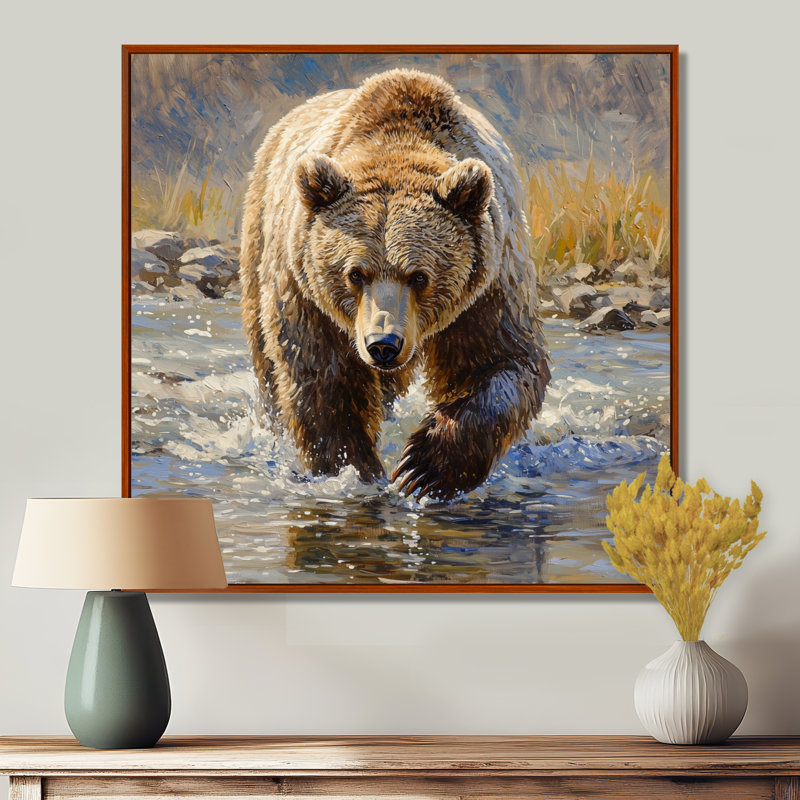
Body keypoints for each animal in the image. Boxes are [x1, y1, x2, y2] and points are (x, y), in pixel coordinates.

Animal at [239, 69, 550, 501]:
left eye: (419, 275)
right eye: (355, 273)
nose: (383, 345)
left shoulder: (489, 285)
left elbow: (500, 361)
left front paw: (425, 467)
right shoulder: (306, 294)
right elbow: (322, 378)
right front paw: (351, 469)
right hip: (260, 233)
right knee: (267, 360)